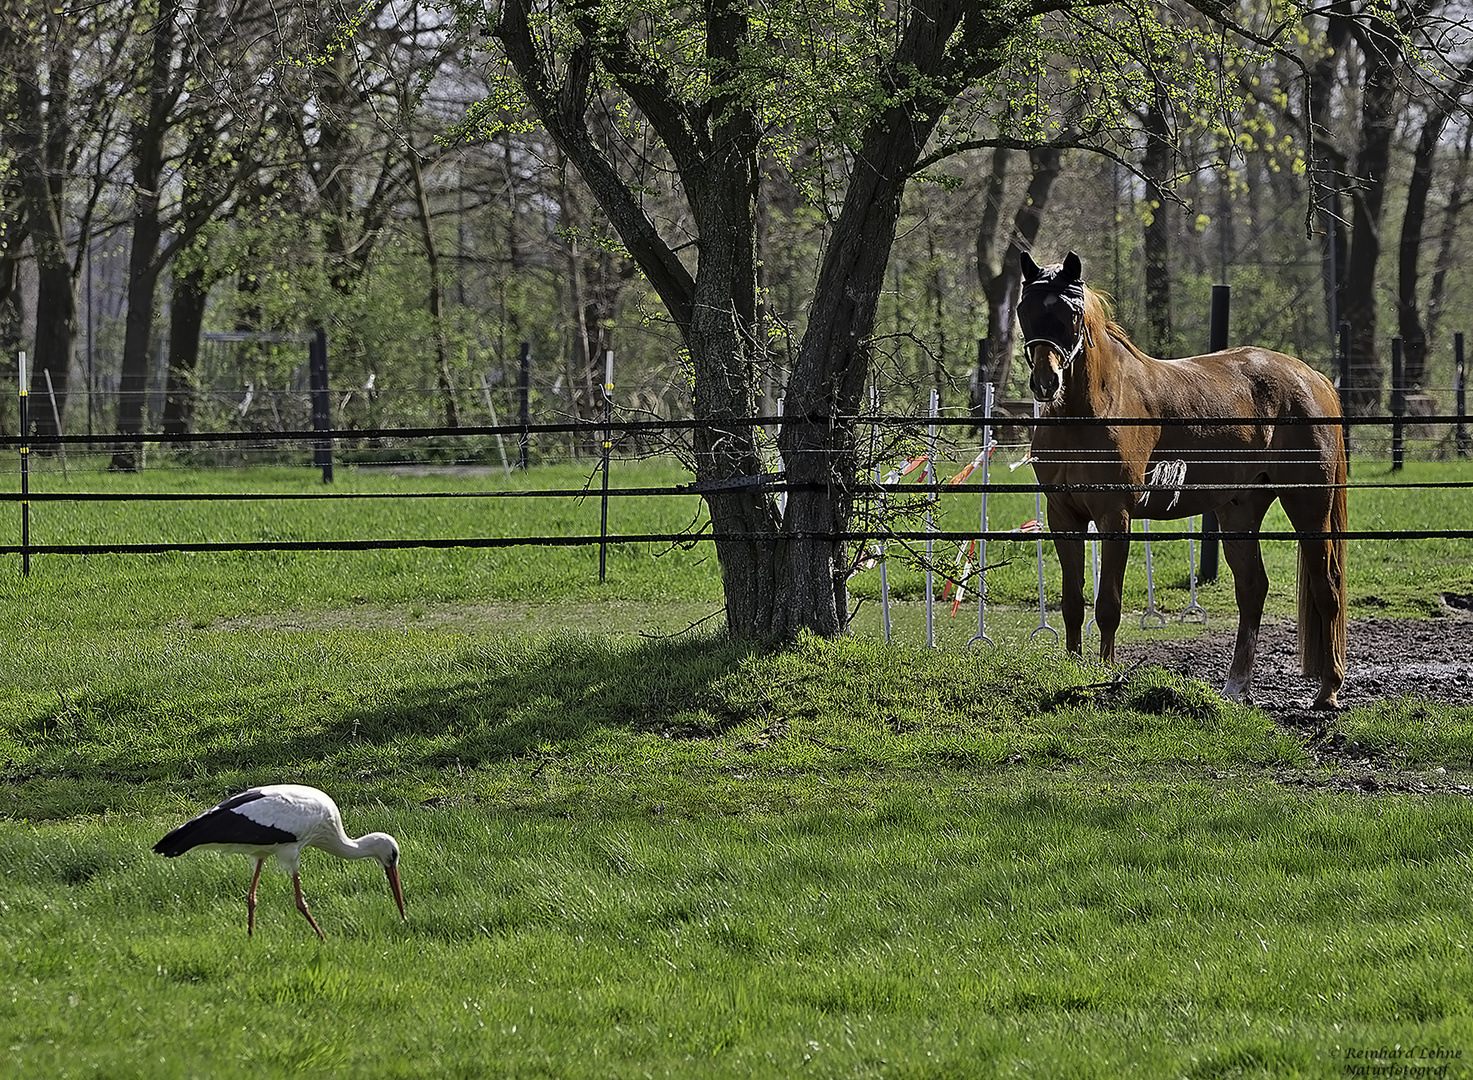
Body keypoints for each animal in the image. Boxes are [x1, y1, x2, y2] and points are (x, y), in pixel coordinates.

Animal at [1019, 251, 1343, 707]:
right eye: (1024, 310)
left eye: (1072, 313)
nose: (1046, 382)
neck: (1094, 406)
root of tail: (1313, 379)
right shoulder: (1064, 517)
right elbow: (1071, 603)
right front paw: (1072, 668)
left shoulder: (1115, 516)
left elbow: (1108, 605)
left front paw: (1105, 674)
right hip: (1239, 510)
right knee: (1252, 589)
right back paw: (1235, 686)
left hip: (1310, 507)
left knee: (1326, 587)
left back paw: (1328, 690)